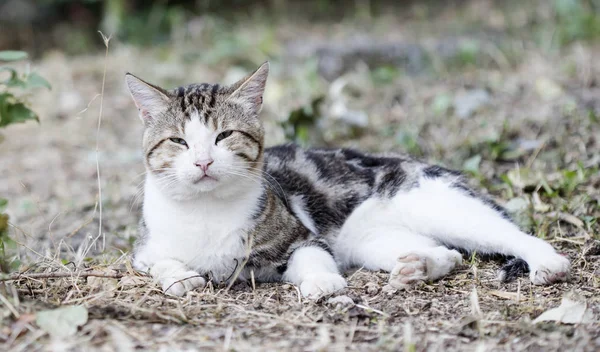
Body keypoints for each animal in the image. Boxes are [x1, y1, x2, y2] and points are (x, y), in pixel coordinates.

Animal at [125, 62, 568, 296]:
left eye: (223, 136)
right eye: (179, 141)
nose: (202, 162)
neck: (206, 211)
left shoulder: (301, 237)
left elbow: (313, 256)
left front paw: (323, 282)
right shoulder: (144, 251)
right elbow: (160, 263)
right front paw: (181, 276)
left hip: (438, 204)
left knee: (510, 234)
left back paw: (549, 262)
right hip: (369, 240)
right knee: (448, 253)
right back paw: (418, 266)